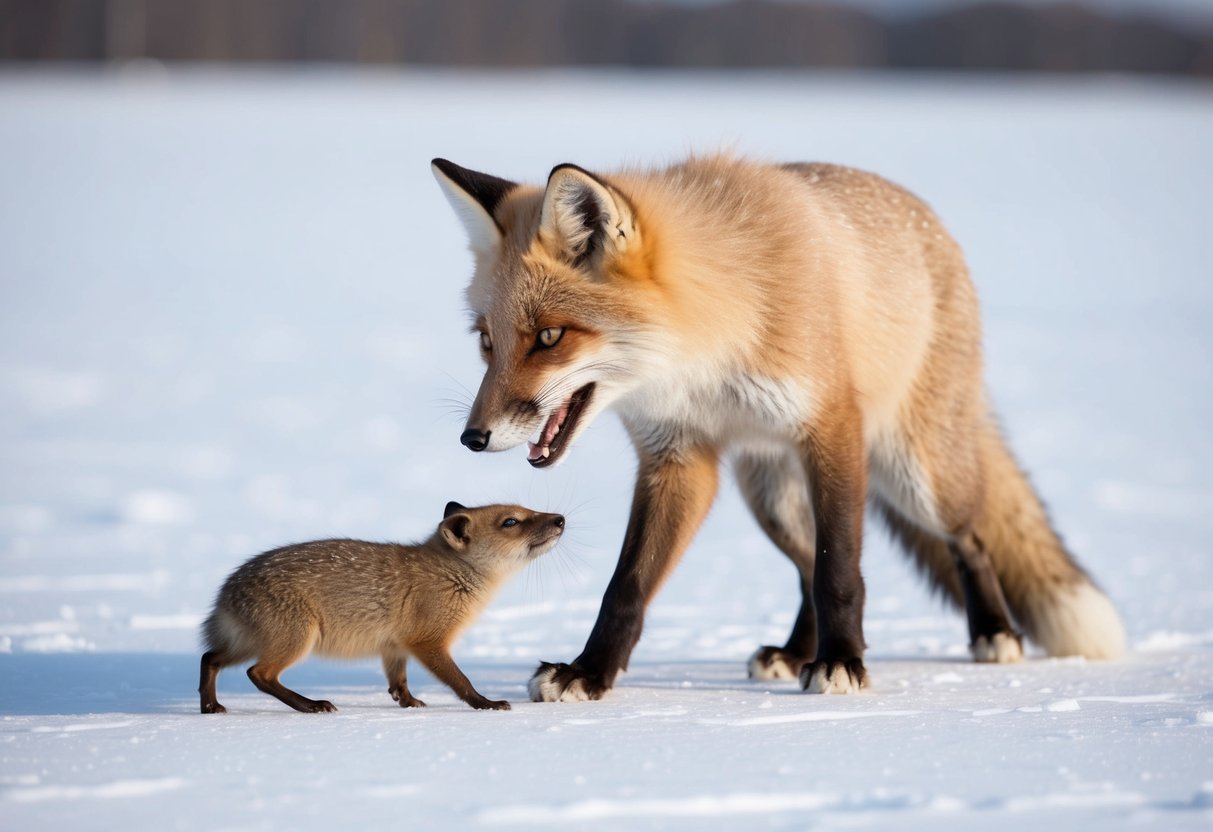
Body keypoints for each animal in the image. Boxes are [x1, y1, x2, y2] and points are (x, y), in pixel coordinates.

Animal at [198, 502, 564, 714]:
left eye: (525, 509)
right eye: (511, 522)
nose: (561, 519)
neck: (450, 576)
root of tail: (227, 591)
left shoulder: (395, 645)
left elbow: (398, 682)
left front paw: (409, 704)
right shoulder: (428, 642)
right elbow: (461, 681)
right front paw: (485, 704)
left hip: (248, 644)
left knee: (209, 658)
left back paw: (210, 706)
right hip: (294, 640)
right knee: (258, 674)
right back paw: (310, 705)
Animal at [430, 154, 1126, 701]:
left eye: (549, 337)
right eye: (487, 341)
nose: (472, 439)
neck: (709, 346)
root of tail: (928, 220)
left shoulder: (832, 427)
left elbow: (839, 569)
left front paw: (843, 663)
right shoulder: (679, 456)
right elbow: (627, 587)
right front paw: (590, 673)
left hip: (916, 476)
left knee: (968, 538)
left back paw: (992, 632)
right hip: (769, 496)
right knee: (802, 565)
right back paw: (795, 653)